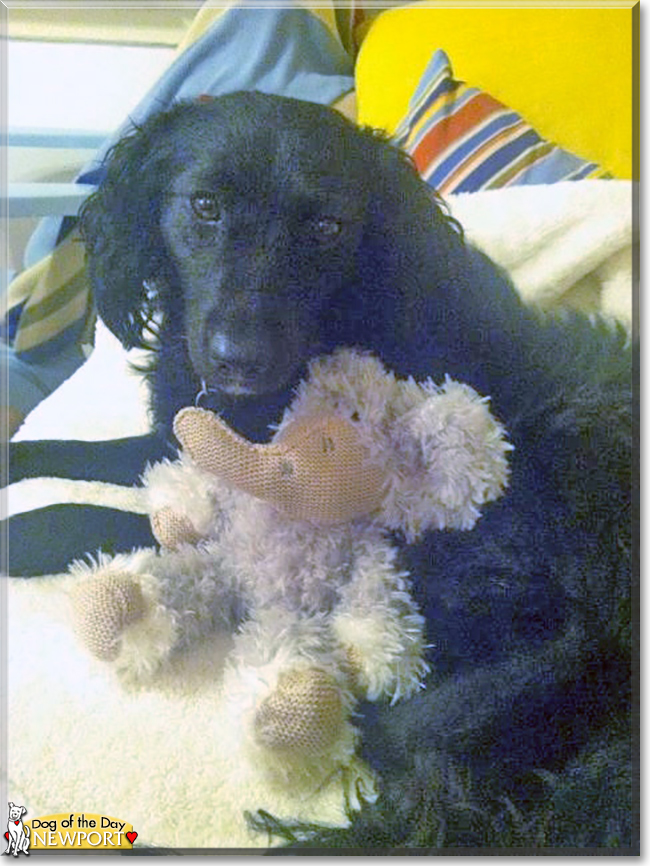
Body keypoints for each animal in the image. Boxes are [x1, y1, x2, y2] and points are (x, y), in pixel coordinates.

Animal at [6, 91, 632, 848]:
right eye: (205, 205)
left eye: (329, 227)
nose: (239, 359)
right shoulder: (180, 435)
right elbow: (79, 450)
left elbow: (103, 513)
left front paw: (23, 532)